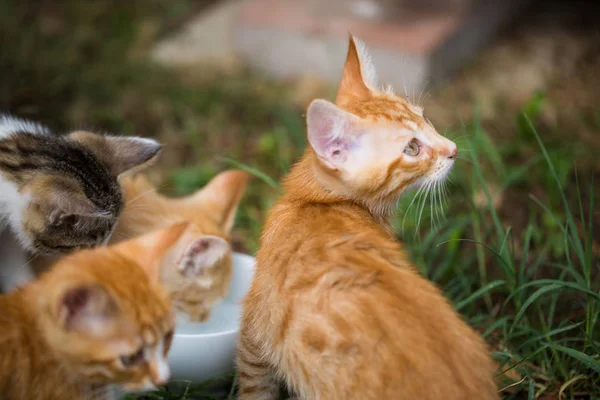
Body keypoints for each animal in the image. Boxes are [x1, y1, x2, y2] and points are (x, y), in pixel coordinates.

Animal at [237, 36, 500, 398]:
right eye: (412, 148)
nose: (453, 150)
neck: (314, 201)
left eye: (426, 118)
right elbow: (254, 388)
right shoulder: (254, 330)